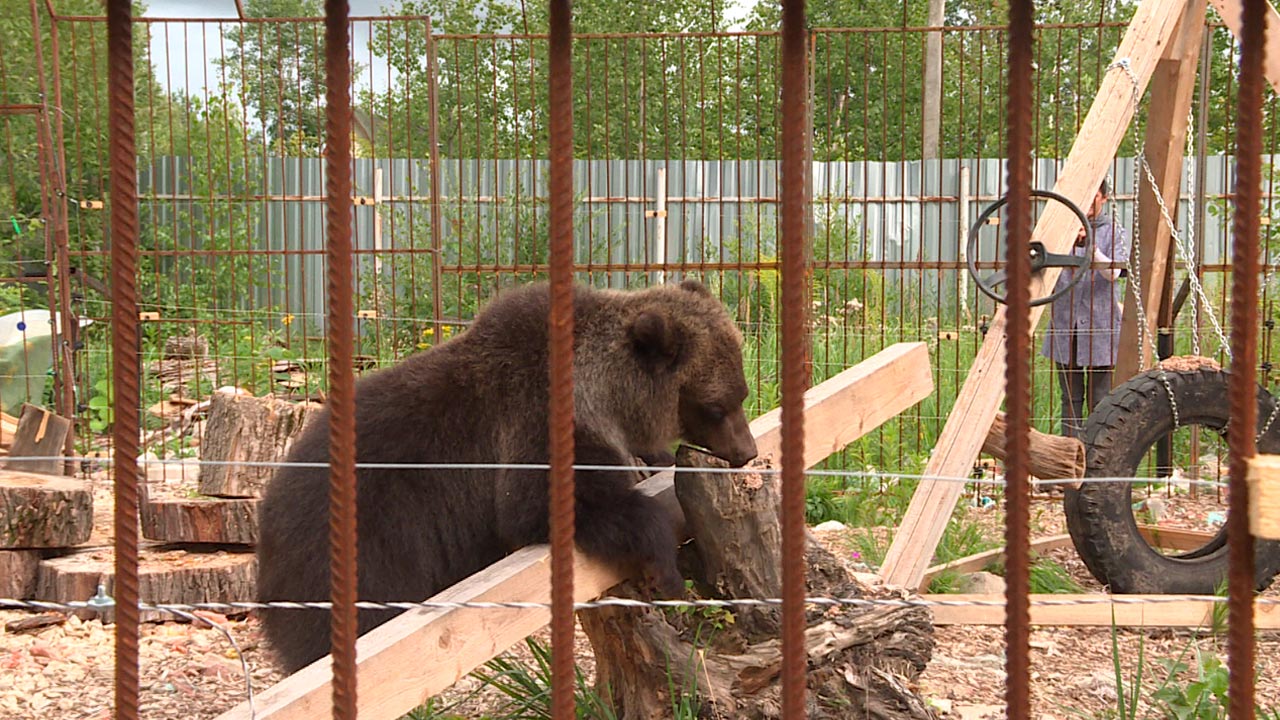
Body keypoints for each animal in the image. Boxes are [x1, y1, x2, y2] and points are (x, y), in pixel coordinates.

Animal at [258, 278, 757, 671]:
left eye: (743, 393)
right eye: (715, 406)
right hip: (362, 551)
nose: (746, 452)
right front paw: (666, 569)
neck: (604, 395)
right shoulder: (538, 424)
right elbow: (553, 507)